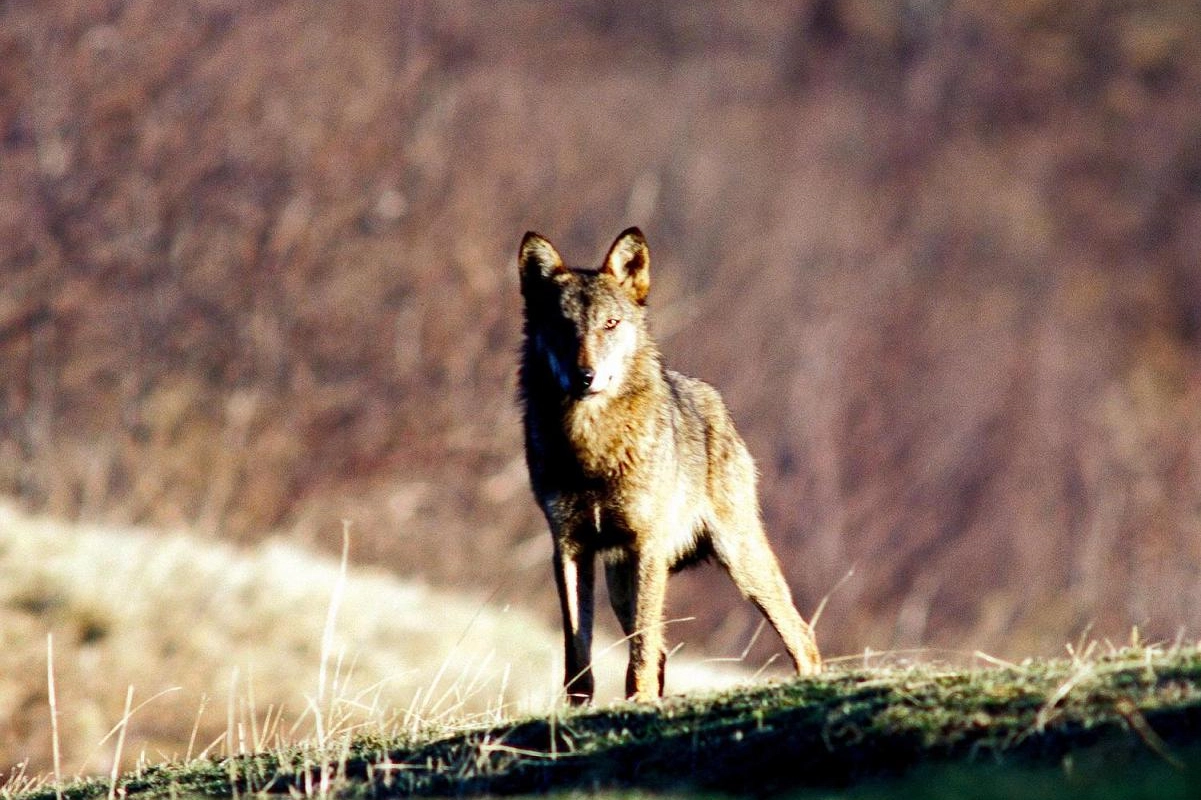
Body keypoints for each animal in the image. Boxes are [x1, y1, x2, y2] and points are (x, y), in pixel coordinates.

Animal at [516, 222, 826, 696]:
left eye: (610, 323)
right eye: (562, 326)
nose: (584, 377)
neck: (591, 446)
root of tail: (714, 400)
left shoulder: (647, 543)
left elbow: (640, 653)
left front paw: (638, 699)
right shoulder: (568, 548)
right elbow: (578, 658)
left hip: (739, 560)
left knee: (801, 635)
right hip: (621, 581)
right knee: (661, 652)